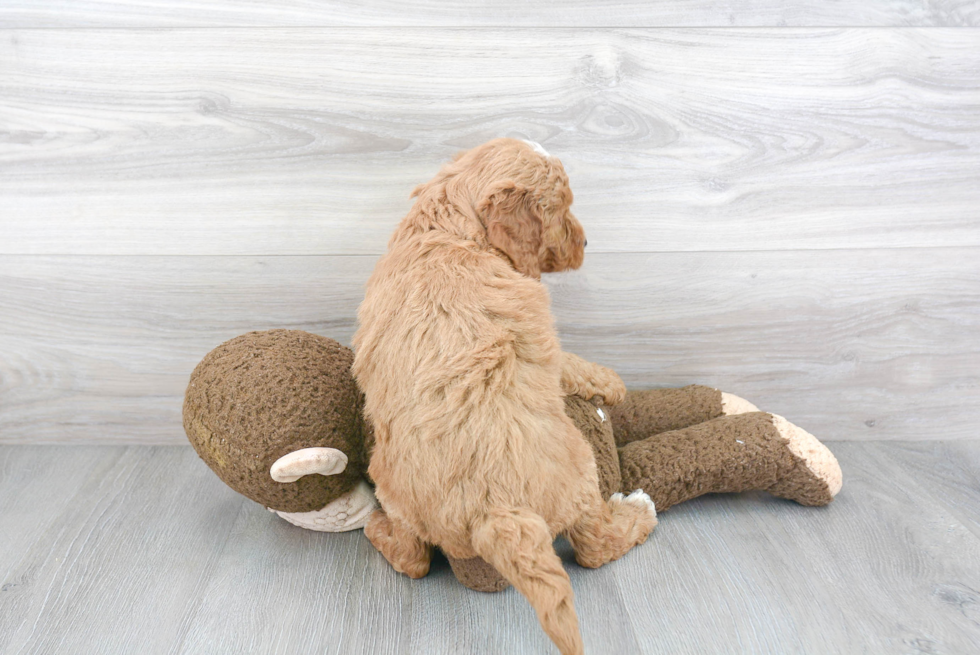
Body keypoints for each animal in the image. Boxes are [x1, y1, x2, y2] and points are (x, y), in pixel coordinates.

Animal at [352, 138, 660, 655]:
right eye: (562, 207)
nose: (586, 244)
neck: (451, 232)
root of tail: (495, 511)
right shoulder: (543, 336)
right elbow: (568, 363)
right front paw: (610, 381)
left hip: (390, 484)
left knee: (412, 558)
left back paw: (377, 529)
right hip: (581, 468)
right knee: (593, 545)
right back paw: (639, 510)